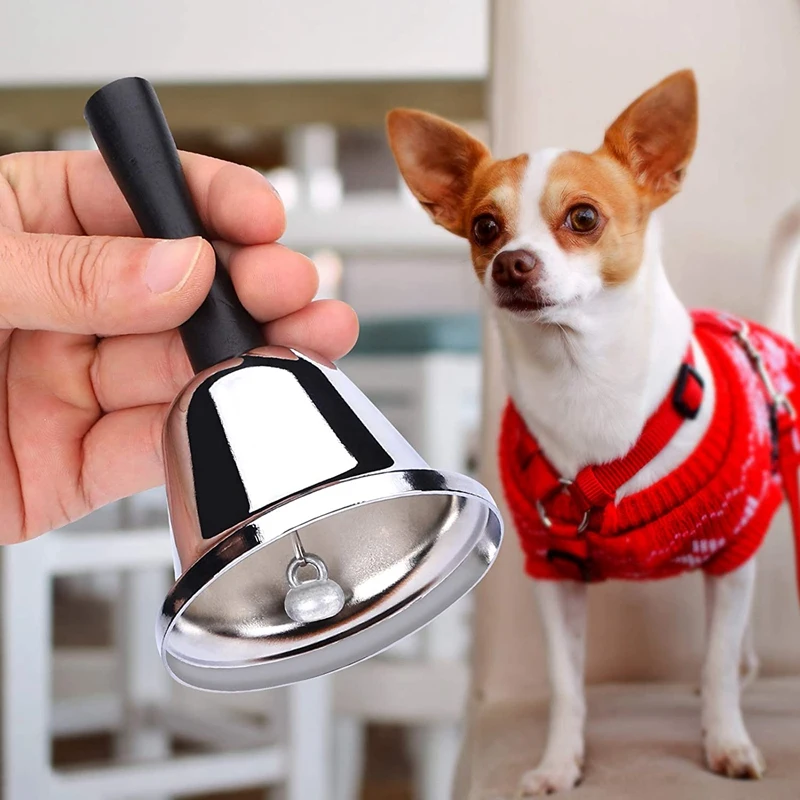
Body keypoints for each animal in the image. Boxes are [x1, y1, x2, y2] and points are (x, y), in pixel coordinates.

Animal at [386, 72, 800, 796]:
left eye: (583, 218)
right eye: (484, 228)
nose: (512, 263)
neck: (586, 384)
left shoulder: (728, 552)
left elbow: (717, 662)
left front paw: (726, 742)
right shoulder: (554, 576)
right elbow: (566, 684)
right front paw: (559, 762)